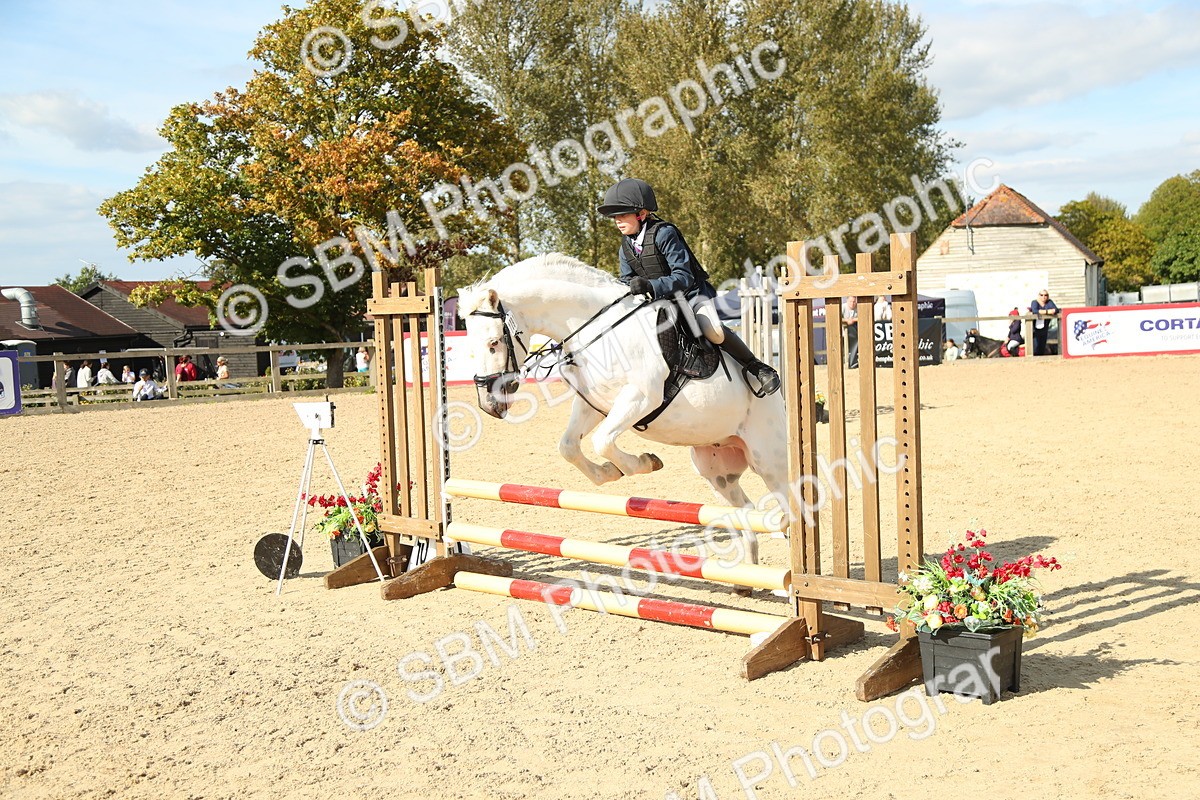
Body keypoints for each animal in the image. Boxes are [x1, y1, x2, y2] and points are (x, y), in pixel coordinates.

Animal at [457, 253, 793, 570]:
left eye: (493, 343)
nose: (488, 404)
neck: (597, 328)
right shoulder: (593, 405)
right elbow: (569, 446)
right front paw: (609, 472)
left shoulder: (639, 397)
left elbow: (602, 441)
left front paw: (645, 462)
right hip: (716, 472)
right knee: (746, 513)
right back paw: (747, 577)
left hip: (768, 459)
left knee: (790, 508)